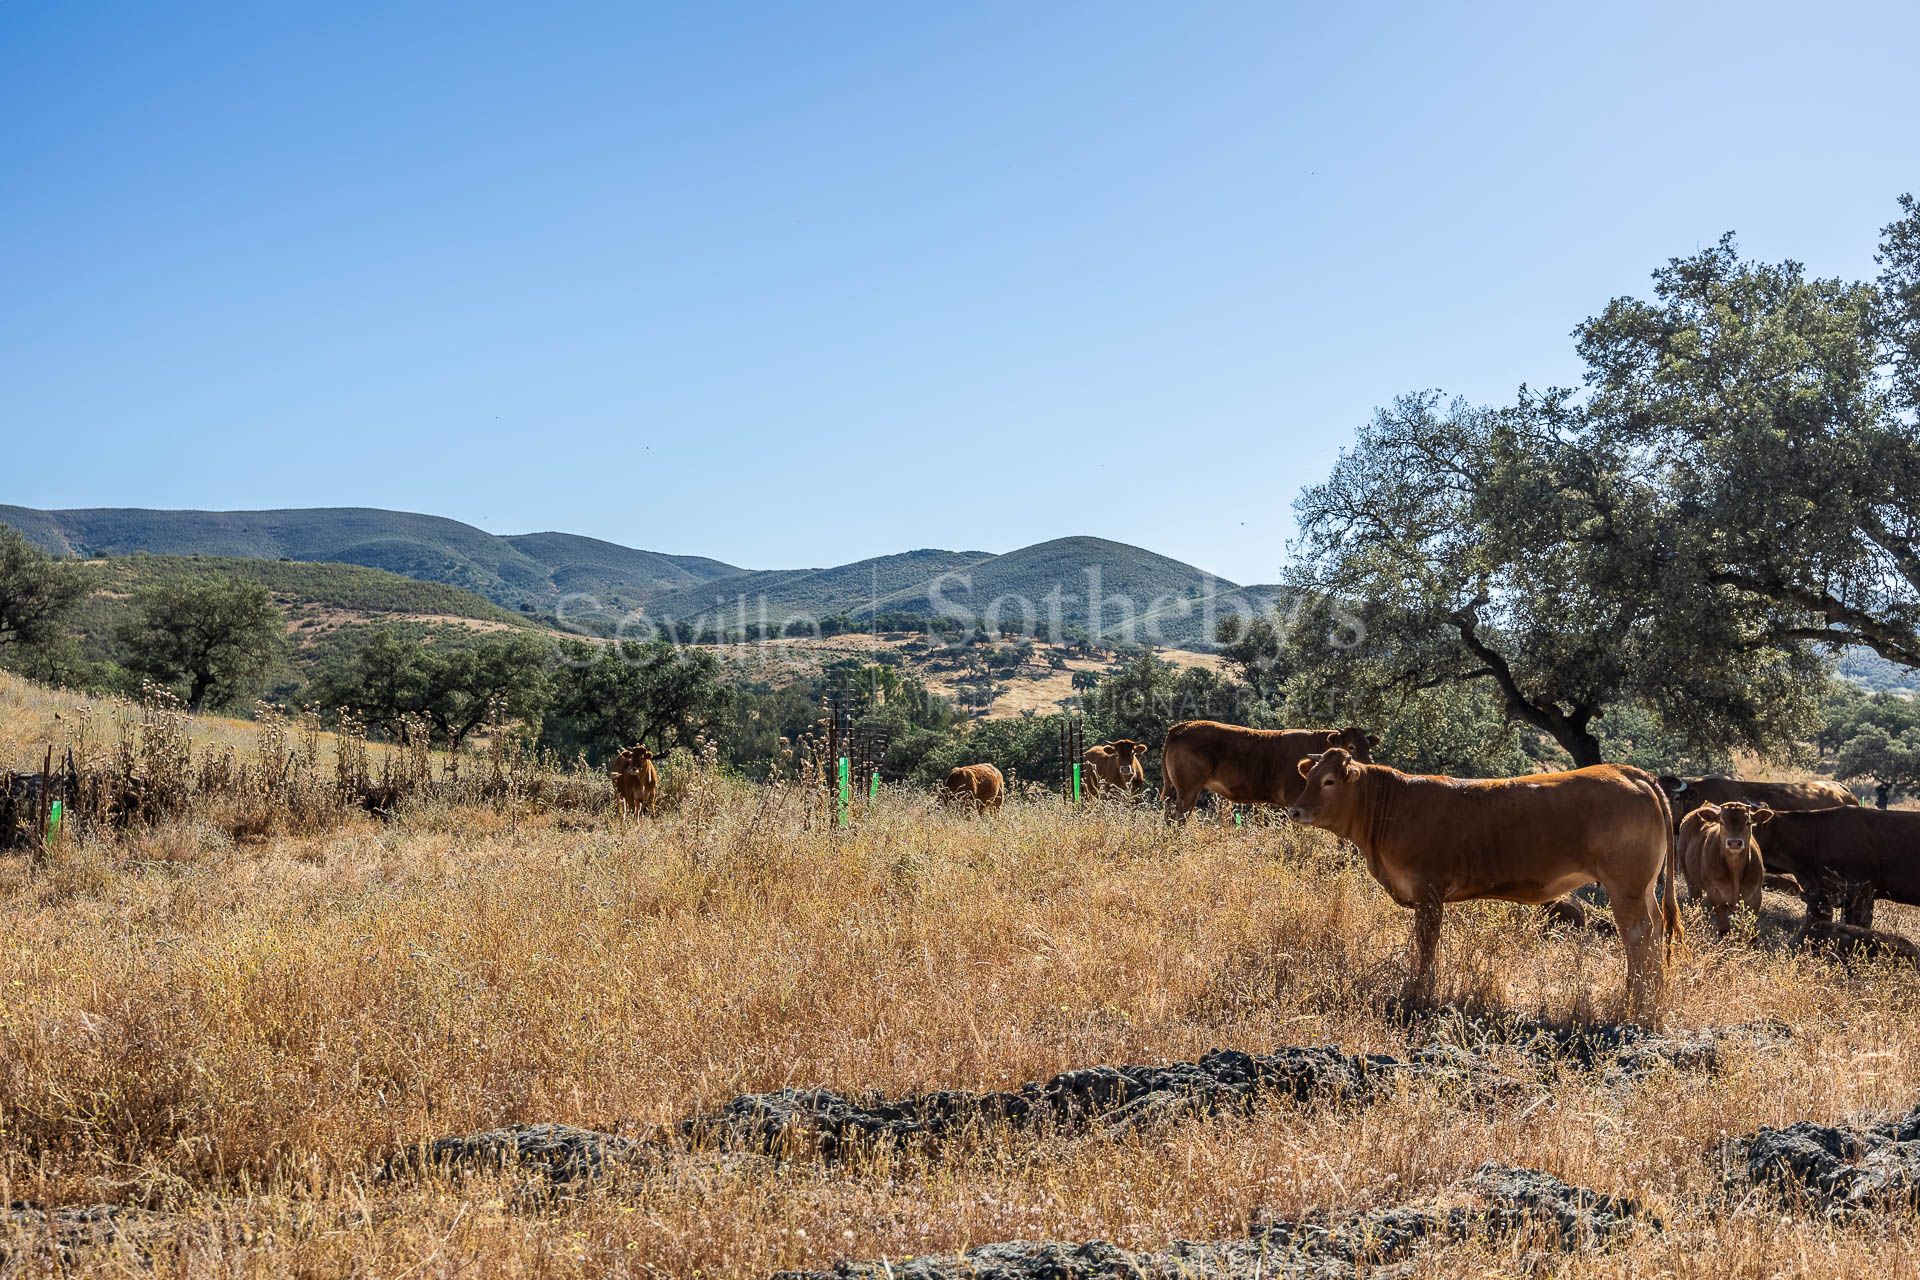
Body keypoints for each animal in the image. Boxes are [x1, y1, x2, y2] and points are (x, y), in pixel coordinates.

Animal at [1152, 721, 1382, 821]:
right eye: (1351, 747)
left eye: (1368, 746)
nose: (1366, 764)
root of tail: (1180, 728)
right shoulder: (1295, 800)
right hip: (1188, 790)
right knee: (1178, 818)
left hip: (1177, 791)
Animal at [1290, 752, 1681, 1020]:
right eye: (1308, 777)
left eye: (1329, 781)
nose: (1296, 810)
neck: (1394, 806)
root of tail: (1625, 771)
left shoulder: (1428, 889)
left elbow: (1426, 941)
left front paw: (1420, 991)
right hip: (1643, 887)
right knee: (1654, 929)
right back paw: (1652, 998)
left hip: (1624, 884)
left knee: (1637, 934)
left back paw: (1634, 1003)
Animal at [1681, 802, 1766, 932]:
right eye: (1721, 822)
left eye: (1748, 822)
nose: (1734, 843)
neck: (1735, 872)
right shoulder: (1715, 894)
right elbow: (1724, 928)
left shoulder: (1755, 896)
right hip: (1689, 876)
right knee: (1695, 899)